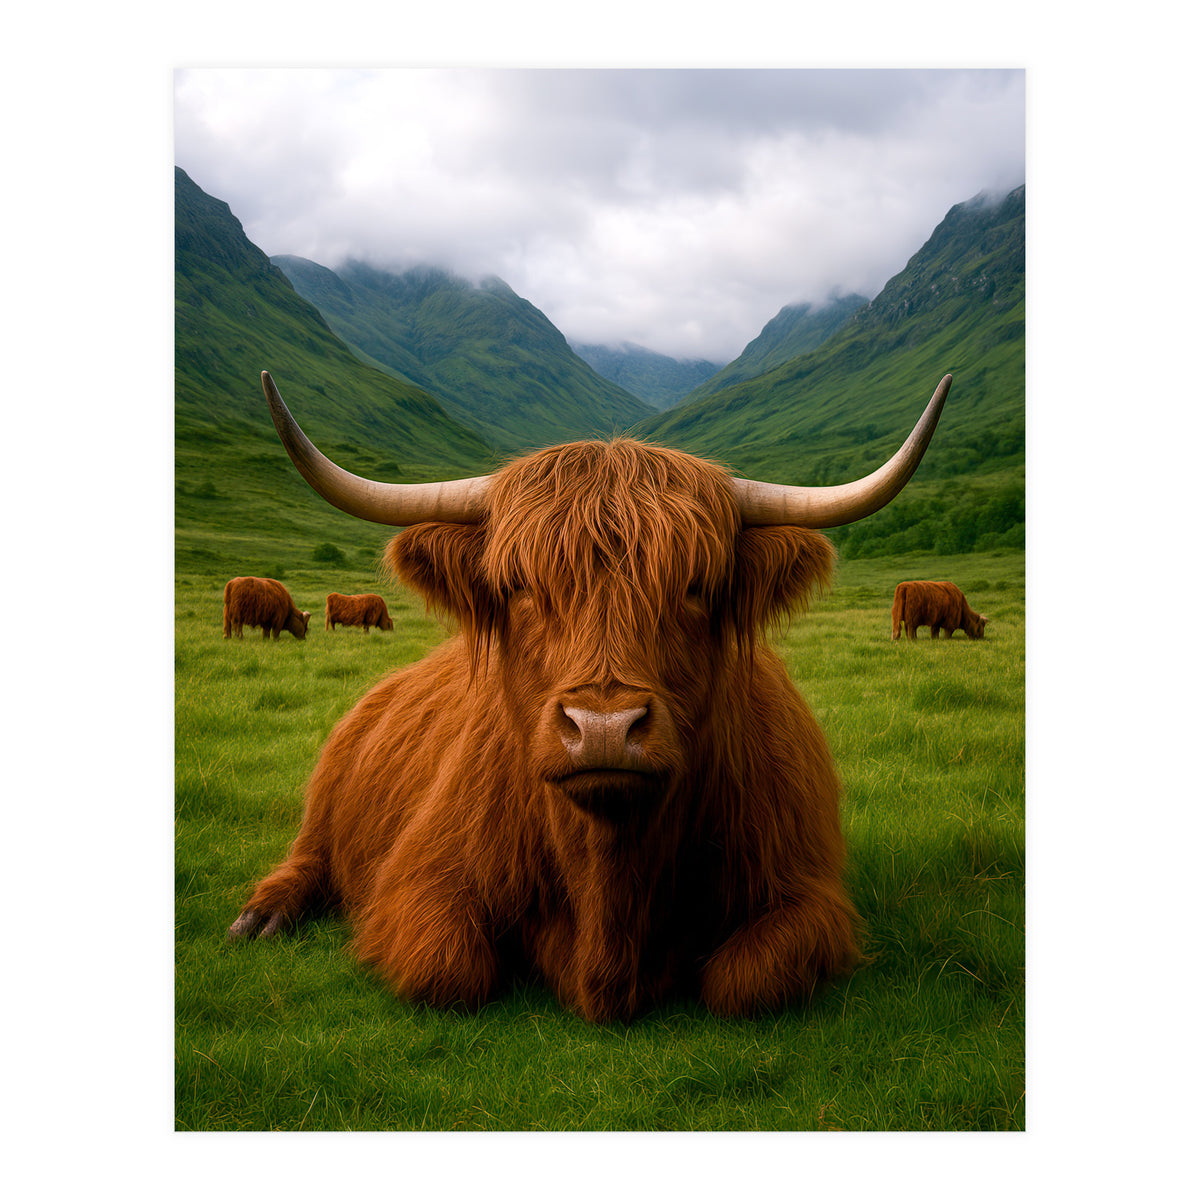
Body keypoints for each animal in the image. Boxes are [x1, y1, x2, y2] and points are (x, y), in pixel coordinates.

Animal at [229, 370, 953, 1022]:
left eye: (696, 586)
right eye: (519, 585)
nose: (604, 728)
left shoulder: (806, 894)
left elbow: (744, 982)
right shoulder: (418, 880)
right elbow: (449, 969)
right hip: (326, 800)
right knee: (309, 856)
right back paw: (262, 916)